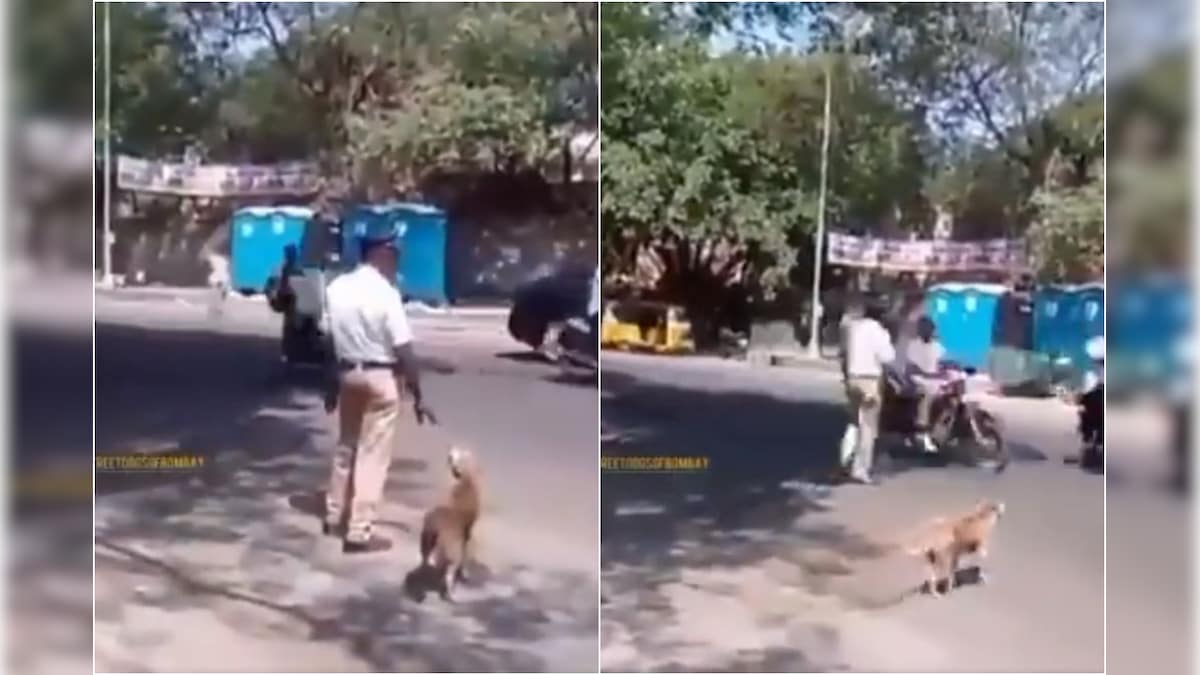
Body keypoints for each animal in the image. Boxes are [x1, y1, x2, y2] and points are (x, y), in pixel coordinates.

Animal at [420, 444, 480, 595]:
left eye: (455, 453)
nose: (450, 453)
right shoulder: (468, 531)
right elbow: (466, 551)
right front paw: (465, 573)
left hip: (426, 542)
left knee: (425, 560)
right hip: (451, 553)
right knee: (448, 573)